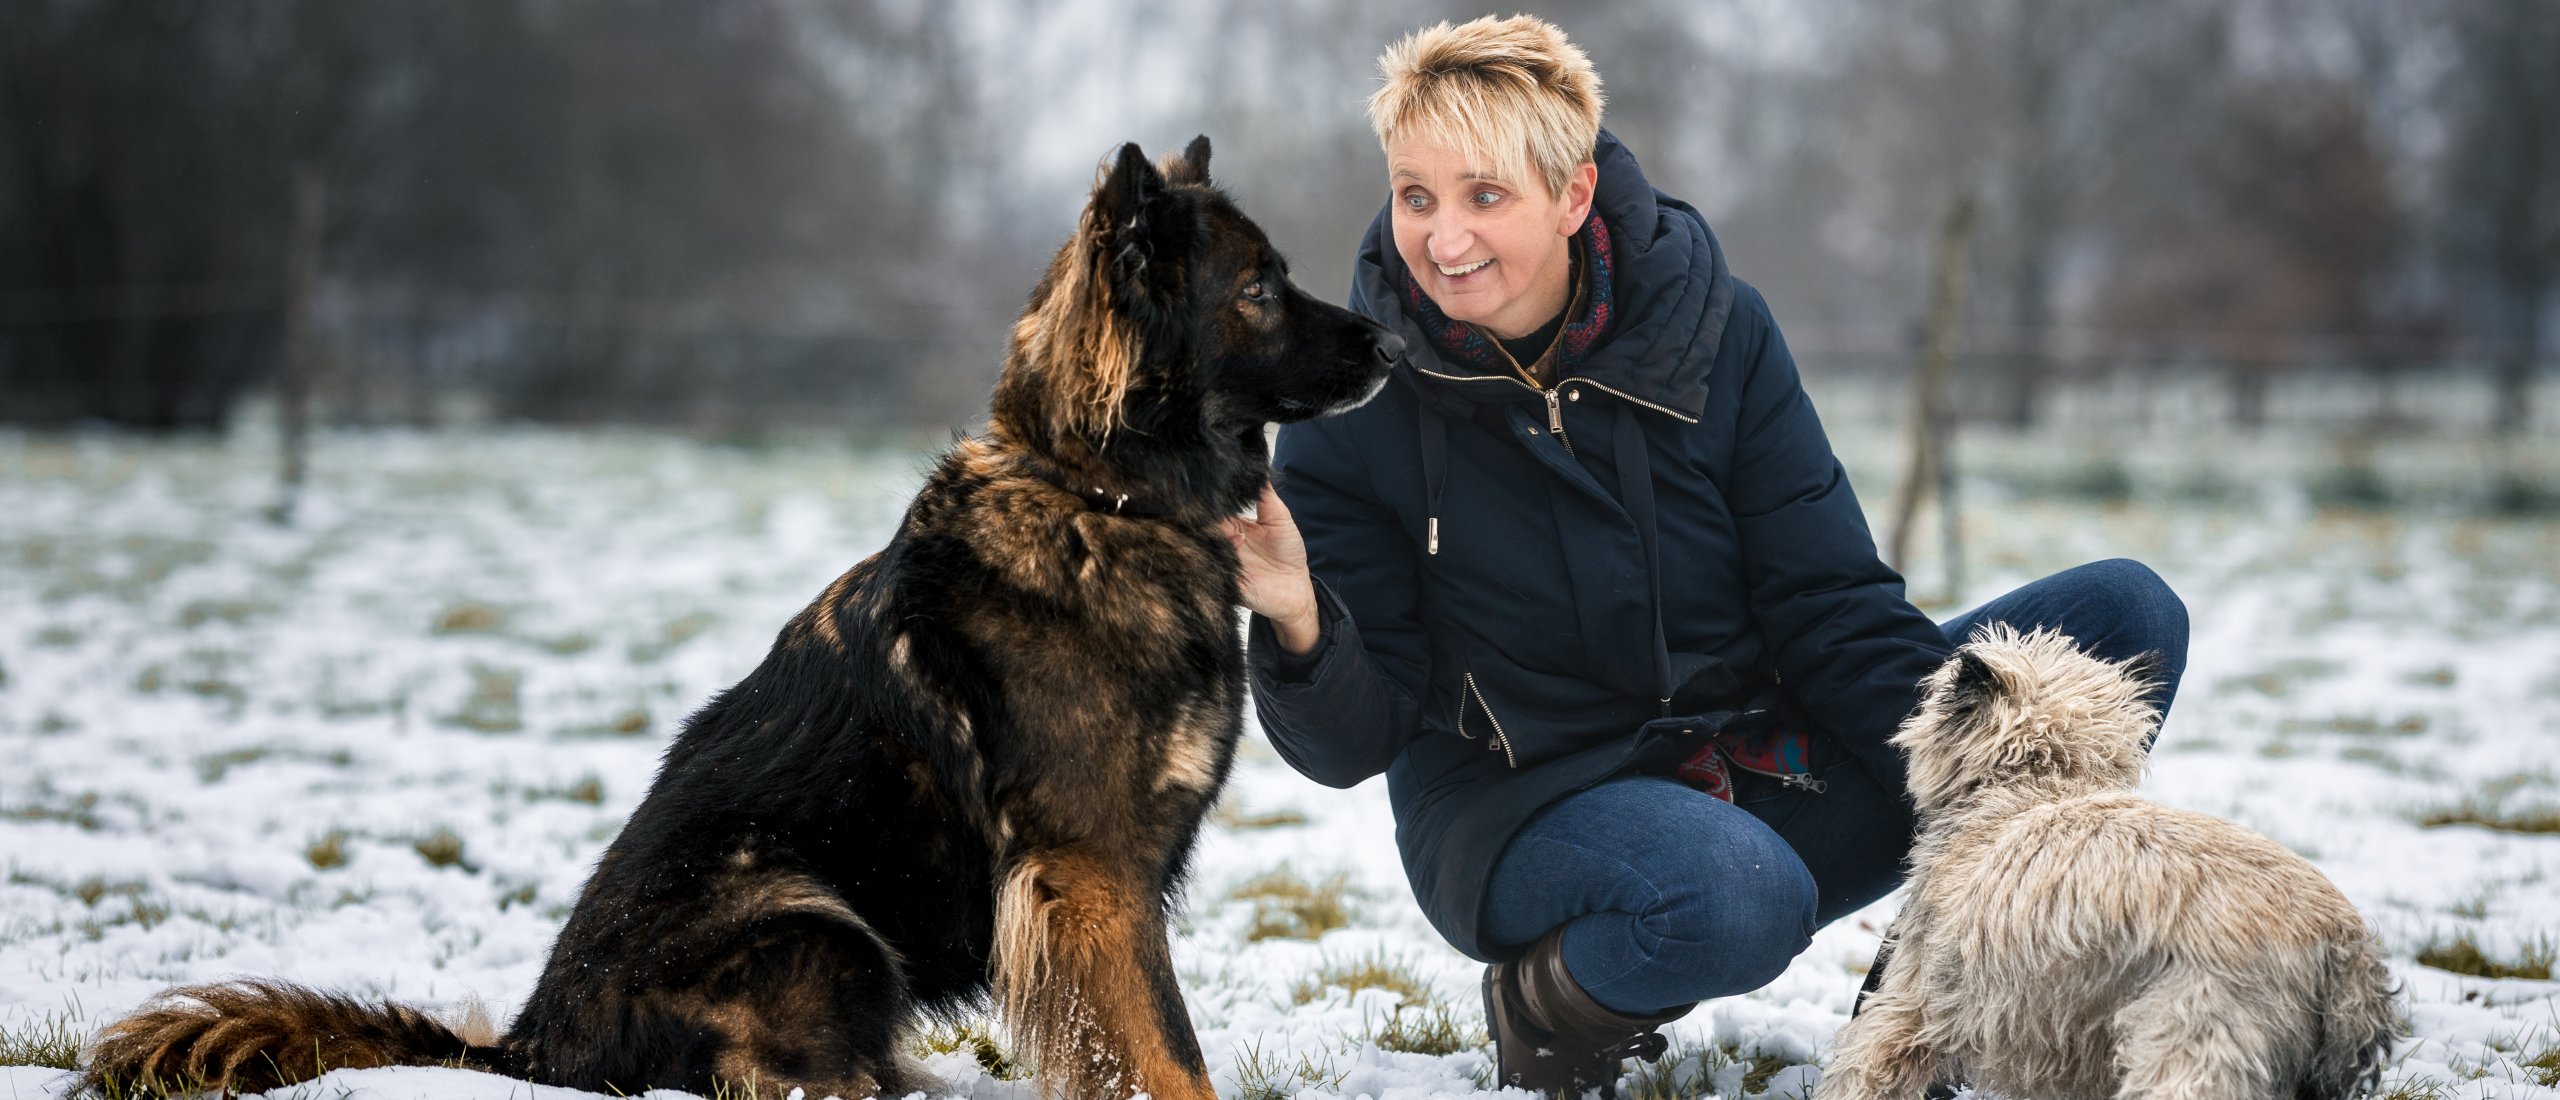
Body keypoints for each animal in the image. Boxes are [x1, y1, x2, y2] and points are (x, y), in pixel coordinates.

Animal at [80, 137, 1402, 1100]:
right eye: (1259, 287)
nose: (1392, 336)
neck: (1099, 491)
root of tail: (530, 1047)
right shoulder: (1090, 874)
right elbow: (1166, 1049)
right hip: (817, 924)